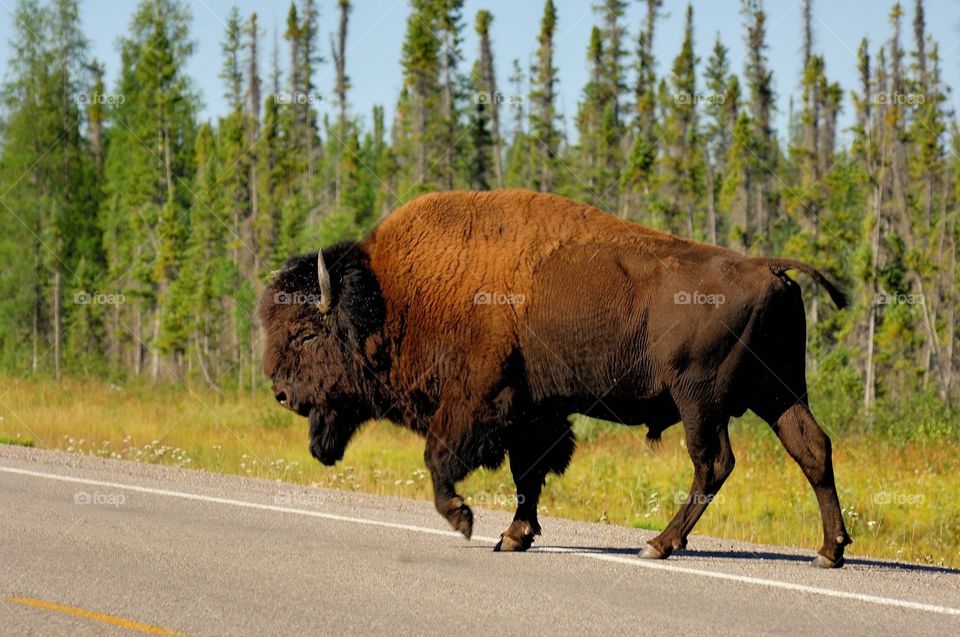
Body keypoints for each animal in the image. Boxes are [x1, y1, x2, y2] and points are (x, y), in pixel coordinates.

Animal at [260, 189, 852, 567]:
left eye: (307, 334)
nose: (281, 392)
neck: (391, 298)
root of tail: (767, 267)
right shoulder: (533, 413)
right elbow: (528, 473)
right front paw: (513, 536)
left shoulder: (478, 403)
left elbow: (442, 459)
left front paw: (465, 519)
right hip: (779, 393)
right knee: (812, 449)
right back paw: (830, 551)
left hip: (700, 401)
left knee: (713, 464)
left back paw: (658, 544)